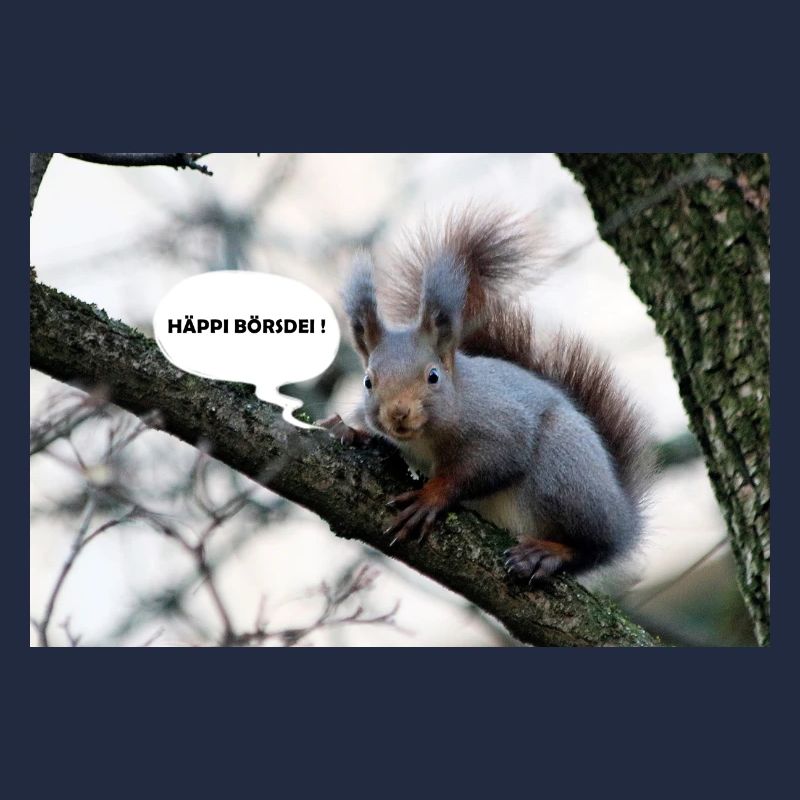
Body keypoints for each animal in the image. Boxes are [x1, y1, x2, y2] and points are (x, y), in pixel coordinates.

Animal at [320, 207, 654, 586]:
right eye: (367, 381)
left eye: (433, 376)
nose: (398, 413)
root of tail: (623, 517)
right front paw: (348, 430)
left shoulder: (498, 424)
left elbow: (490, 463)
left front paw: (431, 496)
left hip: (564, 472)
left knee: (591, 547)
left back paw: (547, 553)